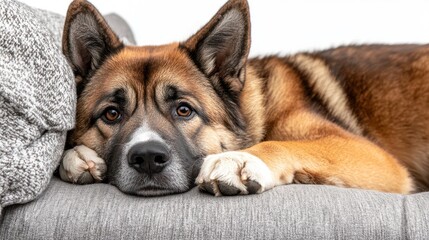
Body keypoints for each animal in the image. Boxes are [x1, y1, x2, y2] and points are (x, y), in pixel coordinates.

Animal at [59, 0, 428, 196]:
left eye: (184, 110)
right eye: (111, 114)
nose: (148, 157)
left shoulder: (373, 158)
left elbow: (284, 145)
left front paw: (239, 161)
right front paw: (77, 158)